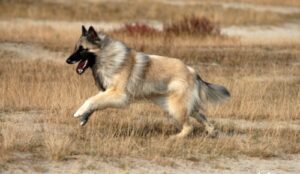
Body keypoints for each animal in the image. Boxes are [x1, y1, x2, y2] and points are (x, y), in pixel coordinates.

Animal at [65, 25, 230, 138]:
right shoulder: (107, 92)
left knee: (189, 127)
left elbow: (91, 100)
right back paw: (212, 132)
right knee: (201, 116)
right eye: (76, 48)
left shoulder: (118, 94)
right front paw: (84, 117)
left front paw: (79, 112)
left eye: (82, 49)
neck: (107, 56)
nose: (67, 61)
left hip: (175, 107)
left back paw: (175, 138)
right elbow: (95, 101)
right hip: (175, 105)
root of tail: (192, 72)